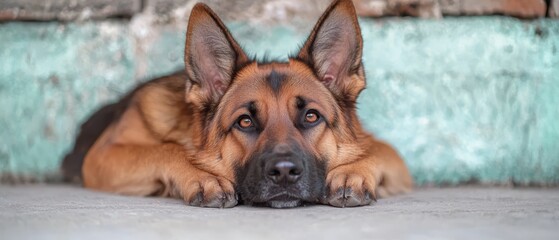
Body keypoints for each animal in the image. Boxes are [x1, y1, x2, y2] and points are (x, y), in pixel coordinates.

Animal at [62, 0, 412, 208]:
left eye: (312, 116)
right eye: (245, 122)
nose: (284, 173)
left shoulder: (386, 152)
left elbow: (375, 149)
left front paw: (352, 171)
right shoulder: (103, 155)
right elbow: (168, 148)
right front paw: (203, 175)